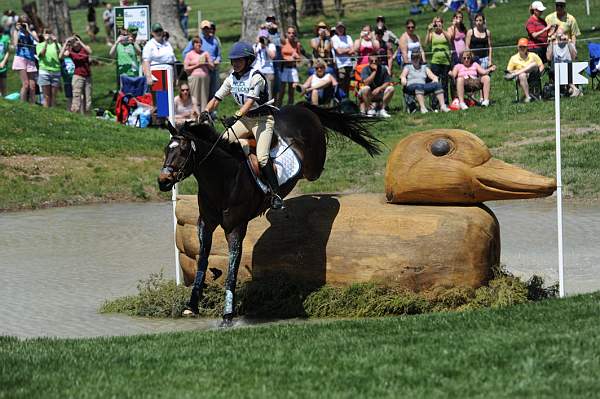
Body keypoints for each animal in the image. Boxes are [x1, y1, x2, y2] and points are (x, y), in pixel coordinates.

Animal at [157, 101, 382, 326]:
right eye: (166, 150)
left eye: (183, 151)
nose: (163, 181)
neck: (222, 179)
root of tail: (300, 107)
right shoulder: (205, 224)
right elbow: (202, 262)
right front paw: (191, 305)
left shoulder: (236, 227)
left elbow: (232, 268)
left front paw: (228, 315)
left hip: (312, 166)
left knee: (313, 173)